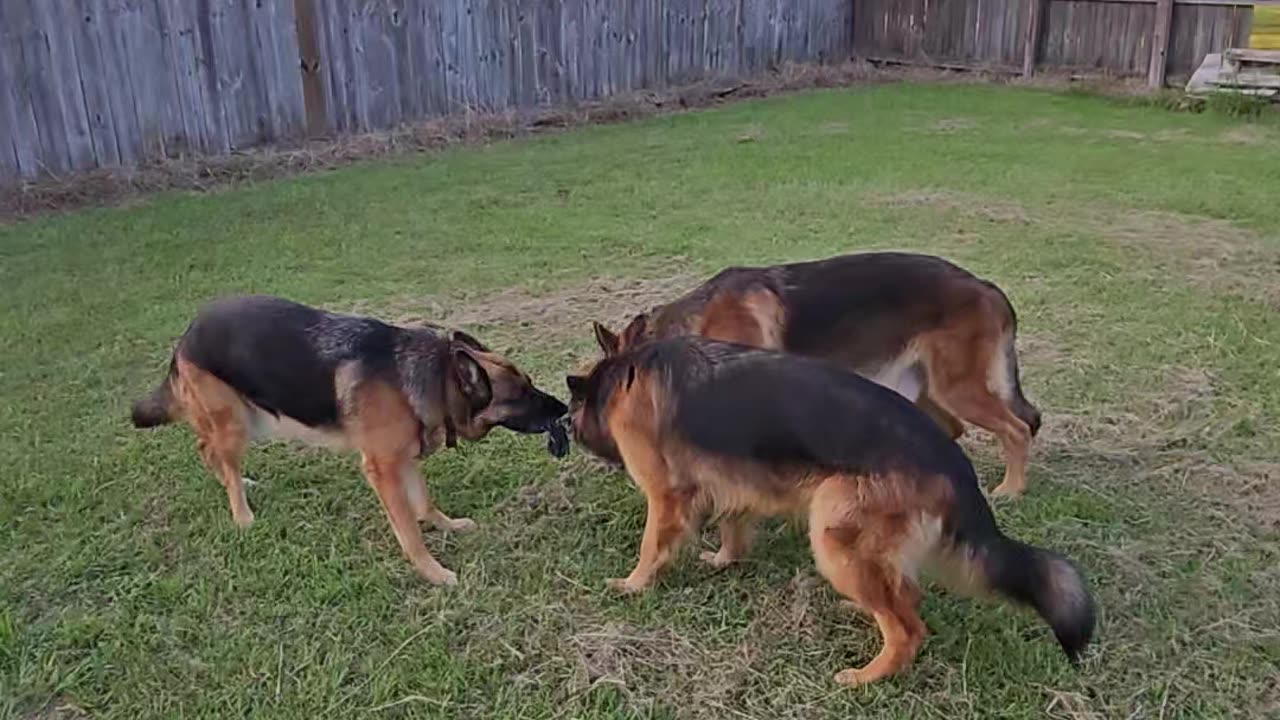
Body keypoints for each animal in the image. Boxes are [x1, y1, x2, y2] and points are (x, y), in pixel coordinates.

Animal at [132, 295, 568, 584]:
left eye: (530, 383)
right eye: (522, 394)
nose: (564, 407)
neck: (435, 377)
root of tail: (187, 332)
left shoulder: (405, 457)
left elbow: (424, 503)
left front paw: (446, 525)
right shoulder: (383, 470)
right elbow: (409, 533)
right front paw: (433, 572)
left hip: (252, 417)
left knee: (205, 448)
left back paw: (234, 482)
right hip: (235, 422)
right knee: (214, 450)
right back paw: (241, 513)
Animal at [565, 335, 1095, 681]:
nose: (566, 431)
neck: (625, 375)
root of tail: (950, 460)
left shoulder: (665, 496)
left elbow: (651, 544)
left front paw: (633, 584)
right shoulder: (737, 480)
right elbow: (734, 526)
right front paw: (723, 559)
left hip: (833, 530)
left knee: (908, 629)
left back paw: (867, 676)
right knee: (904, 596)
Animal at [593, 251, 1044, 491]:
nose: (612, 464)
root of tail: (986, 286)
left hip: (956, 388)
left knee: (1017, 429)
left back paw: (1011, 489)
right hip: (926, 388)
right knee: (955, 429)